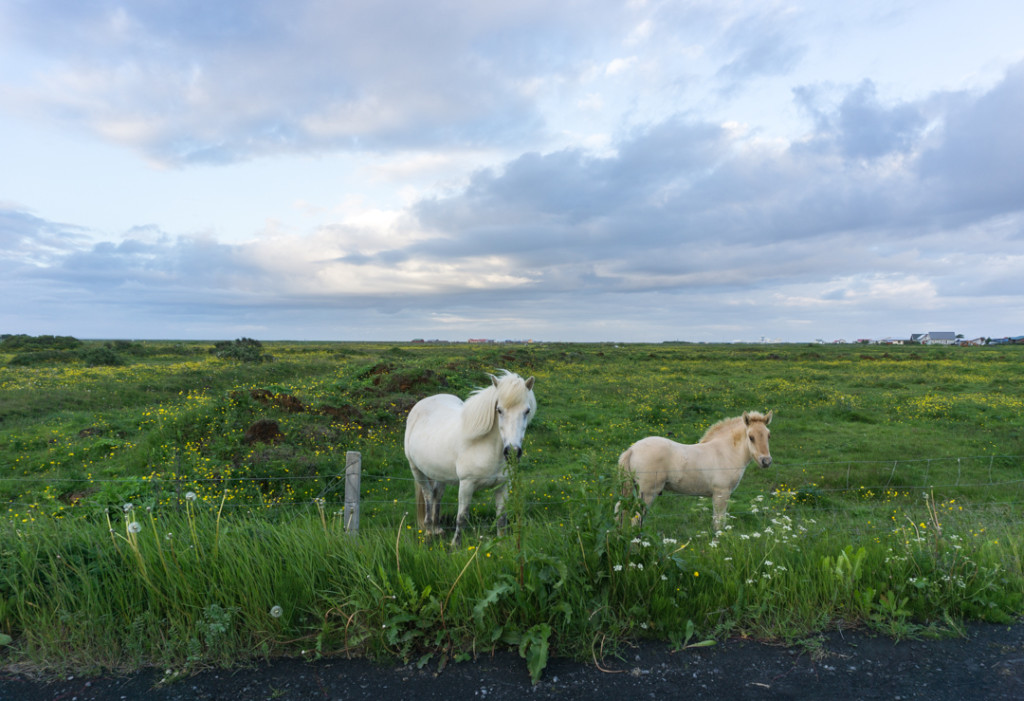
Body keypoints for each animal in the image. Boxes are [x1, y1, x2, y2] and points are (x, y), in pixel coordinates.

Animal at [405, 368, 540, 544]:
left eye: (527, 411)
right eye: (499, 410)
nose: (512, 451)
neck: (485, 447)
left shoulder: (503, 486)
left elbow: (501, 518)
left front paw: (501, 543)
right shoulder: (466, 485)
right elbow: (461, 517)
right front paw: (455, 545)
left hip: (439, 474)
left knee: (436, 495)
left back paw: (437, 529)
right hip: (416, 470)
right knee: (428, 495)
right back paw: (428, 531)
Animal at [614, 409, 774, 532]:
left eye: (769, 435)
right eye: (751, 437)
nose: (766, 461)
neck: (725, 452)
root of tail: (632, 449)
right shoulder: (721, 493)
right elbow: (719, 521)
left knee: (620, 509)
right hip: (647, 492)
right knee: (636, 517)